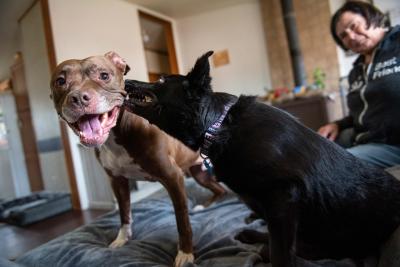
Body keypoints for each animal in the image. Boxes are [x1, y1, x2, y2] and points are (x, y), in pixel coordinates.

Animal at [49, 51, 225, 266]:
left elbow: (182, 220)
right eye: (60, 81)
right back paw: (205, 206)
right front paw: (122, 239)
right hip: (199, 174)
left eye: (104, 75)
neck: (116, 134)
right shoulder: (117, 181)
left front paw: (185, 253)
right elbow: (124, 212)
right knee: (220, 190)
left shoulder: (173, 177)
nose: (79, 98)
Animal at [124, 51, 400, 266]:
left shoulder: (283, 201)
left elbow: (280, 255)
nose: (126, 79)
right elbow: (277, 243)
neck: (220, 125)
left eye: (160, 79)